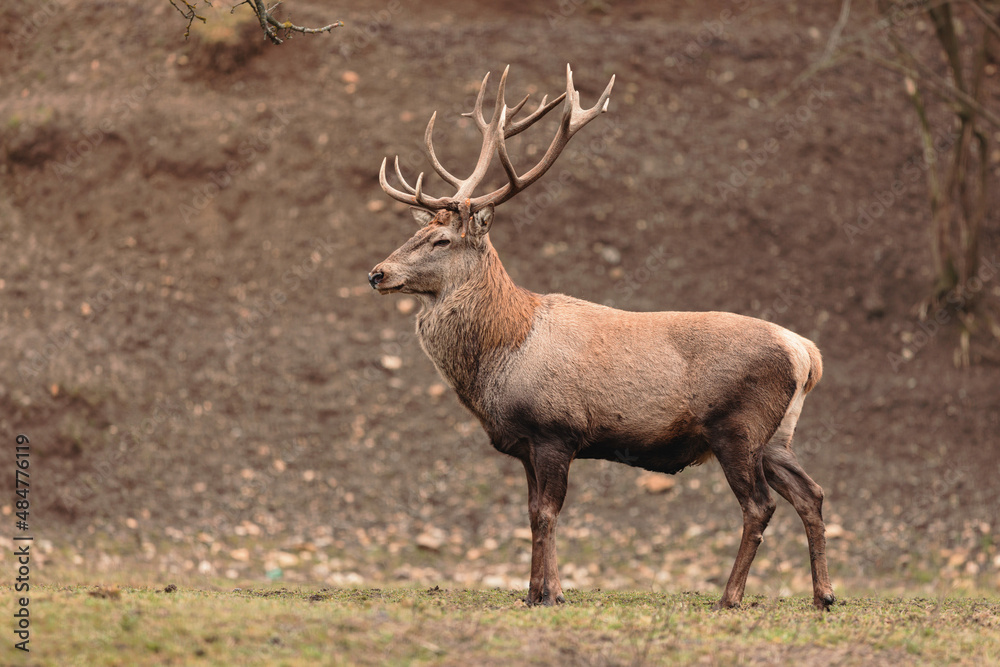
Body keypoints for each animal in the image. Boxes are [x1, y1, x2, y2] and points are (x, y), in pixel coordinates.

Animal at [368, 65, 835, 611]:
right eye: (416, 232)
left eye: (441, 240)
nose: (377, 273)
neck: (502, 357)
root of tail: (806, 354)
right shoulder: (527, 443)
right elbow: (532, 513)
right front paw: (539, 592)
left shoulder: (555, 429)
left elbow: (545, 513)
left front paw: (548, 594)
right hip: (777, 436)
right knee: (811, 493)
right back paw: (823, 595)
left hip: (737, 426)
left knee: (759, 506)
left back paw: (731, 597)